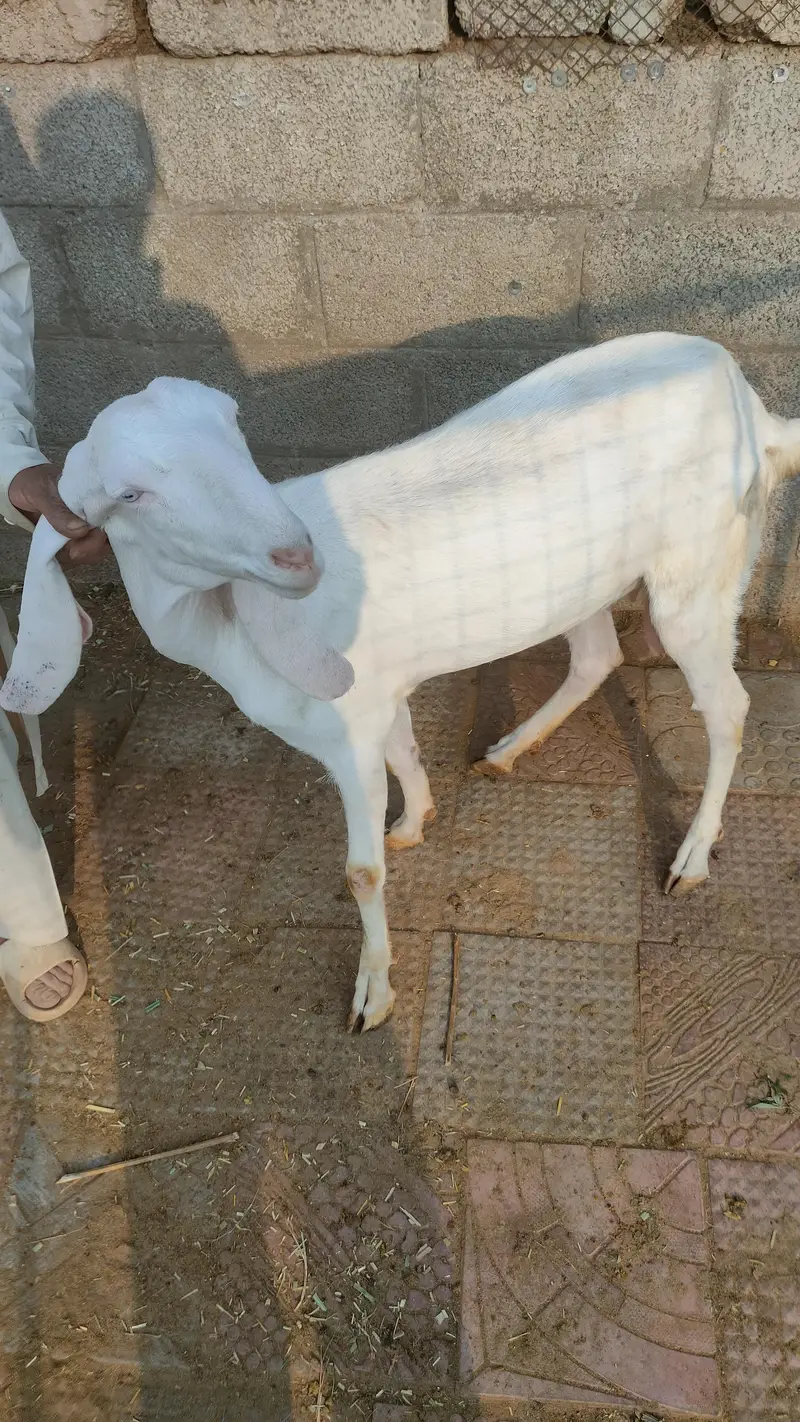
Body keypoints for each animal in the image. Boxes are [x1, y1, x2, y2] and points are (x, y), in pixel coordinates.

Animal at [3, 332, 799, 1031]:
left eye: (236, 430)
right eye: (130, 495)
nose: (297, 554)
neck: (231, 625)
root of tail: (752, 408)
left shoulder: (345, 725)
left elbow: (361, 872)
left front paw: (372, 998)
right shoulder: (372, 696)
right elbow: (404, 750)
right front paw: (416, 821)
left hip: (700, 569)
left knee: (728, 706)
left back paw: (691, 858)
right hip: (580, 579)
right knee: (598, 656)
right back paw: (509, 747)